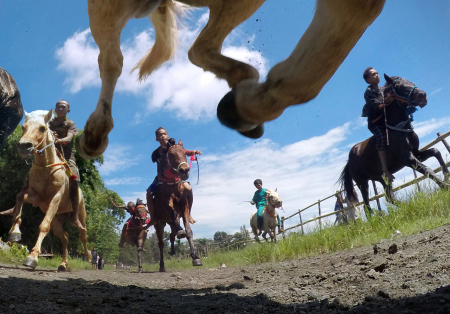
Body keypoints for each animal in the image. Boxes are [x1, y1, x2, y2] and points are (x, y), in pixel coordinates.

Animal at [0, 110, 90, 270]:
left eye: (42, 128)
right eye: (23, 127)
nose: (24, 146)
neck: (46, 168)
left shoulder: (55, 198)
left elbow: (43, 226)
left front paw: (32, 257)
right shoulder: (37, 198)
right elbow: (20, 196)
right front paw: (15, 232)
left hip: (81, 215)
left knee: (83, 235)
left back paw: (89, 257)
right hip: (57, 220)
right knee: (65, 236)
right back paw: (63, 264)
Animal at [147, 140, 201, 272]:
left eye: (185, 153)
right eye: (170, 154)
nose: (184, 171)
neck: (171, 185)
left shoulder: (184, 206)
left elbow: (188, 231)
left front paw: (195, 257)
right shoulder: (165, 204)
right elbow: (173, 214)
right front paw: (181, 231)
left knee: (172, 235)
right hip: (159, 223)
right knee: (161, 243)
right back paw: (162, 265)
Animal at [338, 75, 450, 215]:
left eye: (411, 82)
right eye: (399, 87)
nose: (422, 95)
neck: (401, 129)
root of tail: (349, 161)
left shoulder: (416, 153)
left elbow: (435, 151)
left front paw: (446, 176)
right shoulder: (407, 159)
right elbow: (428, 170)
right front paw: (445, 186)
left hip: (382, 178)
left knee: (389, 196)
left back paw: (405, 207)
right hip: (362, 182)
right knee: (367, 206)